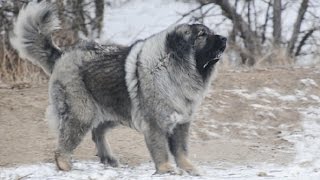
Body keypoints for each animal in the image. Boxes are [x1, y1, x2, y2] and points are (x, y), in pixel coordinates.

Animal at [10, 1, 225, 176]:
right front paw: (166, 170)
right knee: (64, 144)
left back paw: (108, 158)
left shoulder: (181, 123)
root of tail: (63, 55)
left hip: (113, 111)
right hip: (82, 113)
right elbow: (161, 150)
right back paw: (65, 165)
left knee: (97, 133)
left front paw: (189, 168)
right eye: (203, 35)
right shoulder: (155, 124)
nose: (224, 38)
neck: (172, 68)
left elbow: (181, 151)